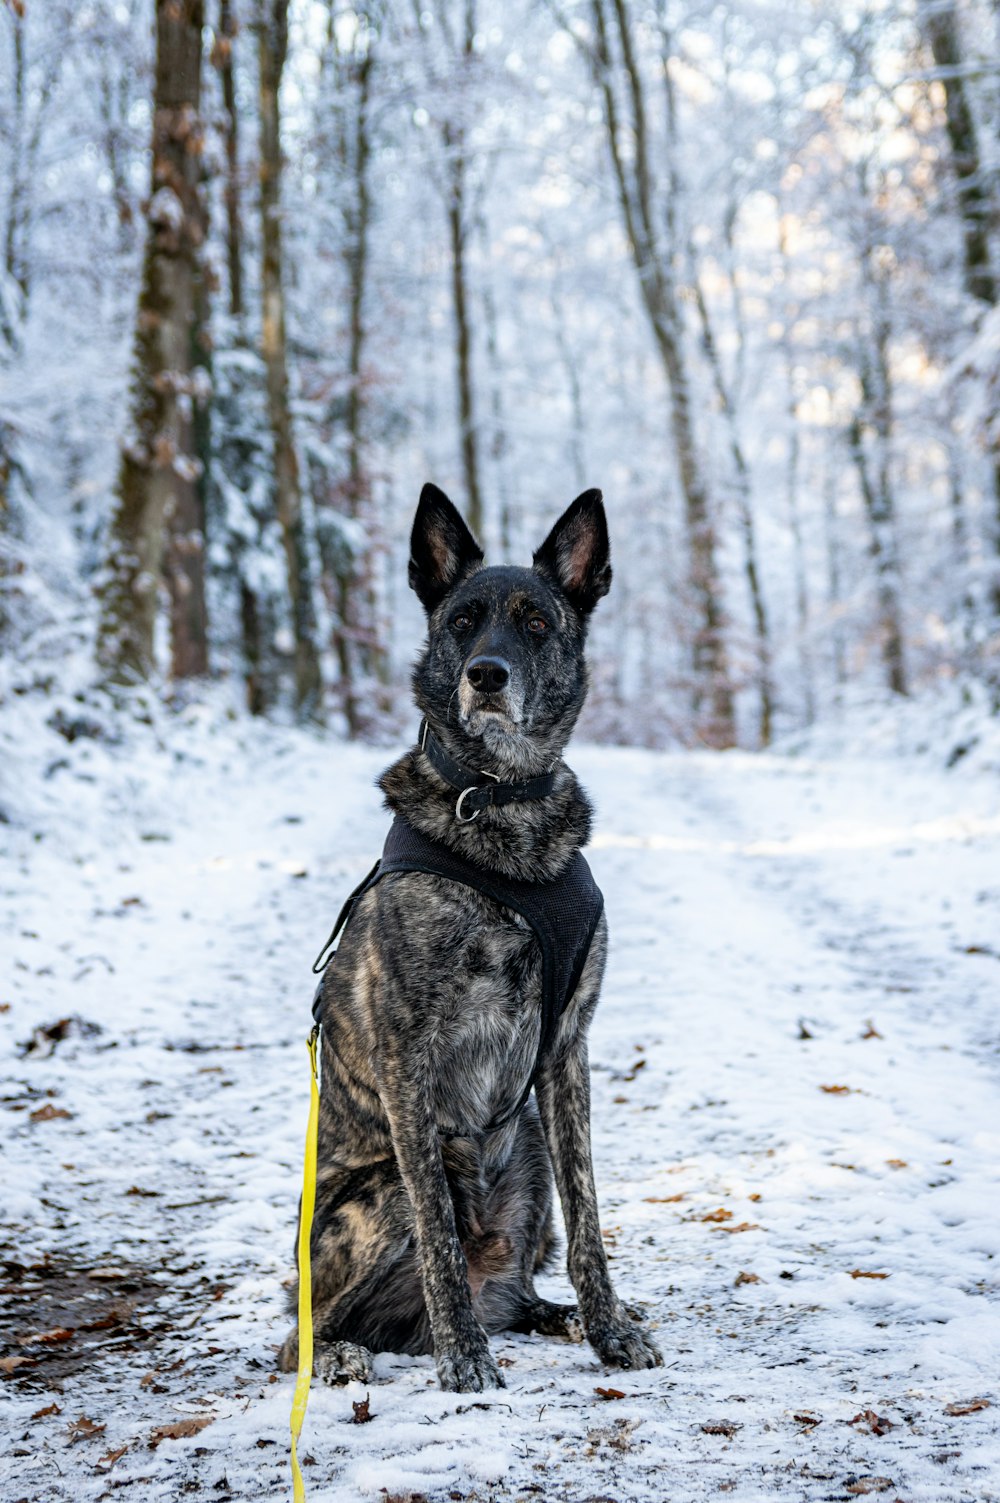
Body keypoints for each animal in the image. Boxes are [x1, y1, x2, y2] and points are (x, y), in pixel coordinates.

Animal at [276, 486, 658, 1388]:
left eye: (537, 621)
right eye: (461, 621)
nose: (486, 674)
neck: (499, 800)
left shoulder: (567, 1049)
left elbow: (591, 1221)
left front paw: (609, 1328)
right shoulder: (407, 1057)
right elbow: (439, 1241)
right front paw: (466, 1360)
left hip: (526, 1150)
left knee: (520, 1284)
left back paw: (553, 1317)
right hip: (388, 1191)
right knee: (297, 1334)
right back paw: (349, 1353)